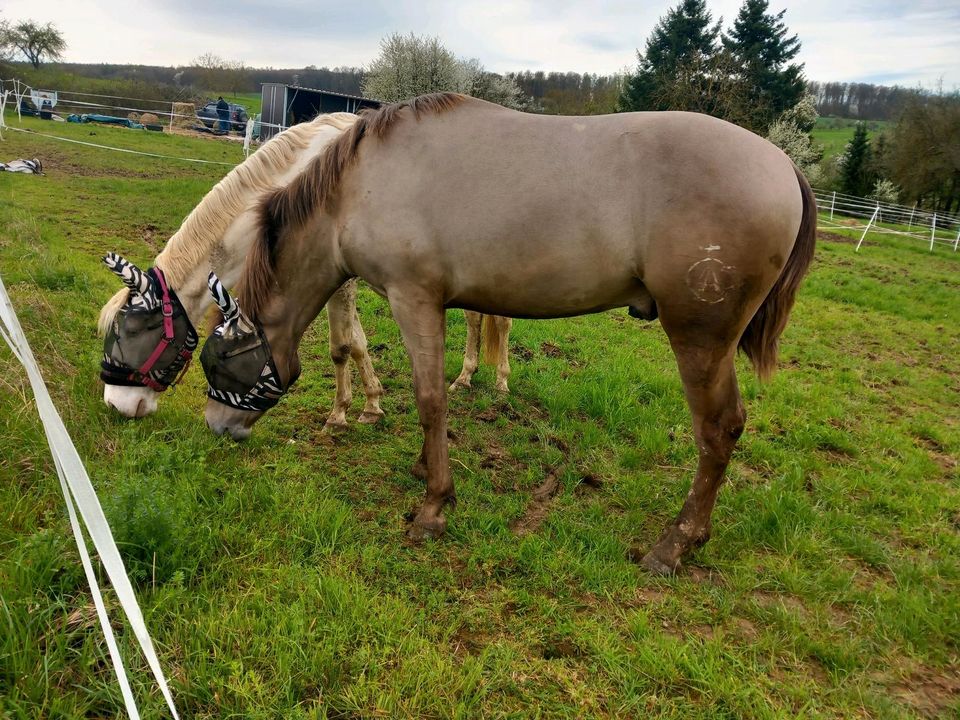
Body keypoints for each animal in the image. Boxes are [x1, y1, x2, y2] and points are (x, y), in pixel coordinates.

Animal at [95, 112, 384, 428]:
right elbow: (357, 341)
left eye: (133, 331)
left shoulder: (339, 280)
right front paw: (372, 404)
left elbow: (341, 346)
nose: (114, 404)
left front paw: (339, 414)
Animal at [202, 93, 816, 572]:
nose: (216, 427)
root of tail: (782, 164)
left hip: (700, 339)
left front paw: (434, 505)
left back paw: (675, 545)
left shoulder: (412, 299)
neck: (362, 186)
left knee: (718, 430)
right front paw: (425, 467)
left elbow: (430, 400)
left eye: (217, 362)